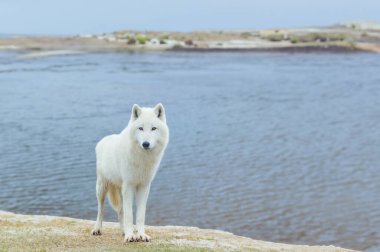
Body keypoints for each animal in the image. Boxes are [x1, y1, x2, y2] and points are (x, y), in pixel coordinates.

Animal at [91, 103, 168, 242]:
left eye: (153, 128)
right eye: (140, 128)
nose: (146, 144)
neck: (142, 159)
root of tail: (104, 140)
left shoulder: (144, 187)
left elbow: (140, 215)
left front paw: (141, 235)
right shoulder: (129, 186)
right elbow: (129, 215)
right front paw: (130, 236)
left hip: (119, 190)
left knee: (120, 212)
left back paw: (124, 231)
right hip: (101, 189)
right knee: (101, 210)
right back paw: (97, 229)